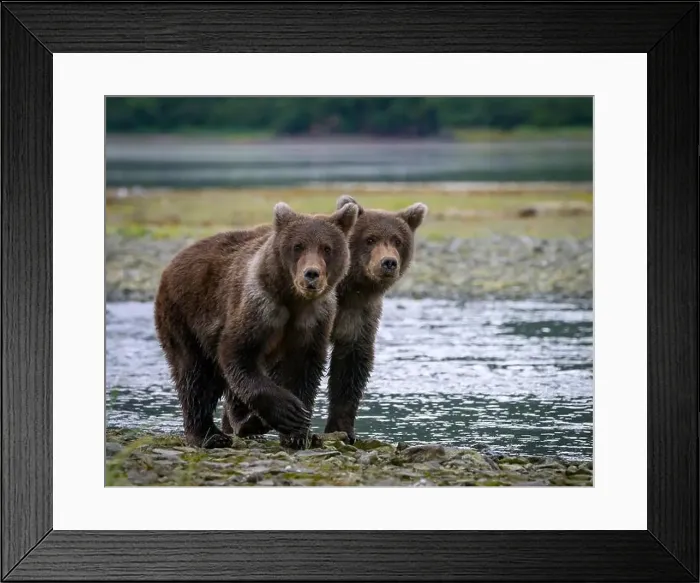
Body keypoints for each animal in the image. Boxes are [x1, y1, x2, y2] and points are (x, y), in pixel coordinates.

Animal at [154, 201, 359, 449]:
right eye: (298, 246)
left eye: (327, 248)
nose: (311, 274)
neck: (293, 299)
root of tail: (173, 262)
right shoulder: (259, 308)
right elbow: (238, 355)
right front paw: (288, 412)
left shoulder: (315, 320)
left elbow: (304, 369)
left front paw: (298, 433)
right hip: (185, 315)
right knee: (195, 375)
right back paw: (210, 434)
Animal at [323, 195, 428, 443]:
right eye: (370, 239)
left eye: (397, 240)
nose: (388, 262)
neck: (350, 288)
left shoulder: (360, 314)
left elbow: (351, 367)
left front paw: (343, 430)